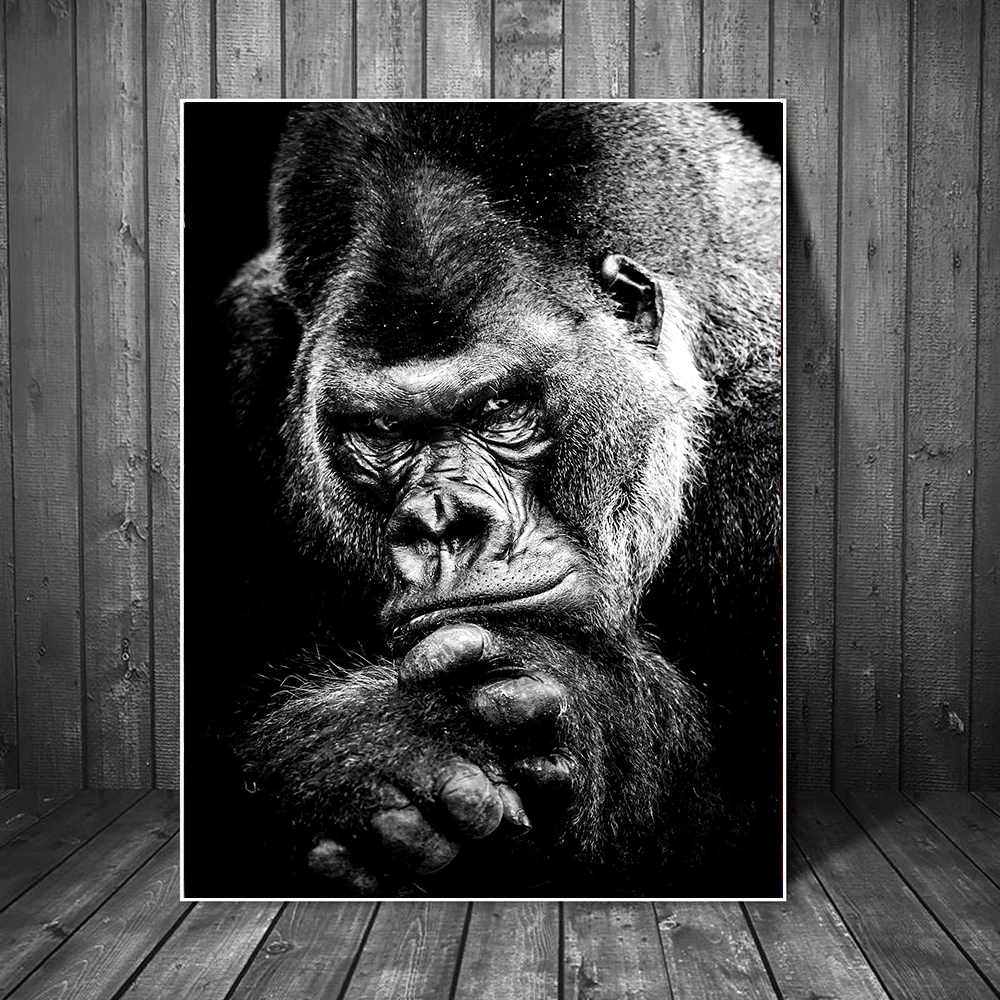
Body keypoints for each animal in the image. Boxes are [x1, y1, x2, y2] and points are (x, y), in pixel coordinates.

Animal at [182, 101, 782, 899]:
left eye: (499, 409)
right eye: (380, 431)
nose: (443, 522)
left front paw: (590, 708)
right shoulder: (240, 359)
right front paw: (360, 755)